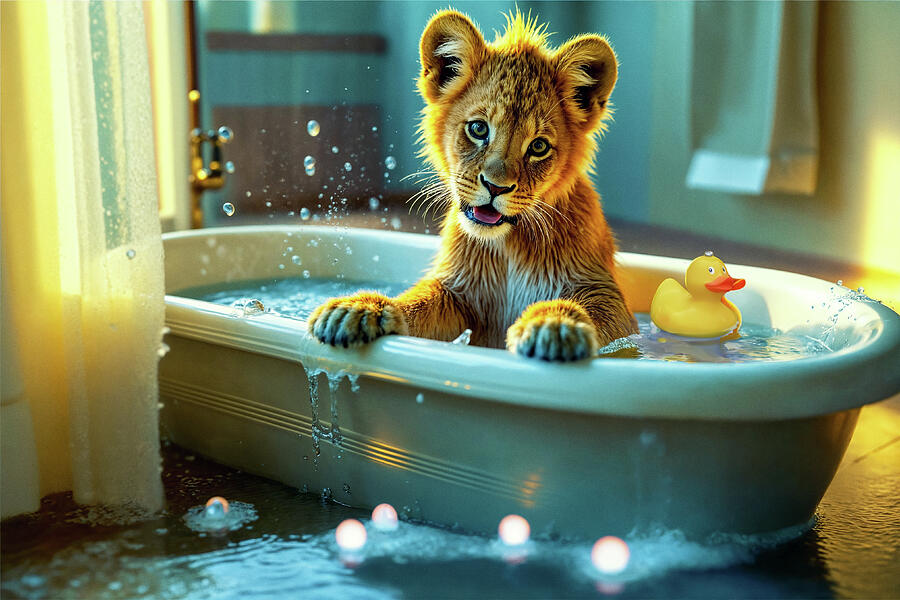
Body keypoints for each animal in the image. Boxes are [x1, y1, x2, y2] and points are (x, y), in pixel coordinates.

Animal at [308, 9, 637, 361]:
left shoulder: (605, 295)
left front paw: (555, 325)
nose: (496, 188)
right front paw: (360, 309)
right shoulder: (457, 294)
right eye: (479, 129)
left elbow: (592, 309)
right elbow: (418, 300)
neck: (508, 247)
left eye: (538, 147)